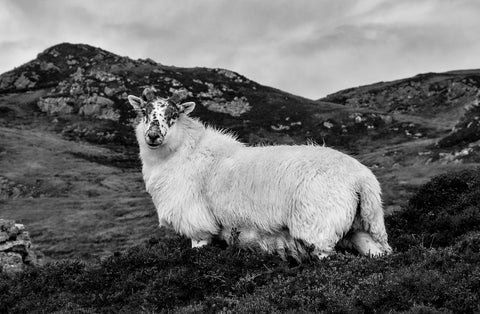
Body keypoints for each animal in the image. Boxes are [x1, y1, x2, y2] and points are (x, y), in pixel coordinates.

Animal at [128, 87, 394, 260]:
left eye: (172, 115)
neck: (183, 151)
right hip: (365, 227)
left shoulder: (196, 223)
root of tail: (362, 179)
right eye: (145, 112)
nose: (153, 136)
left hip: (318, 226)